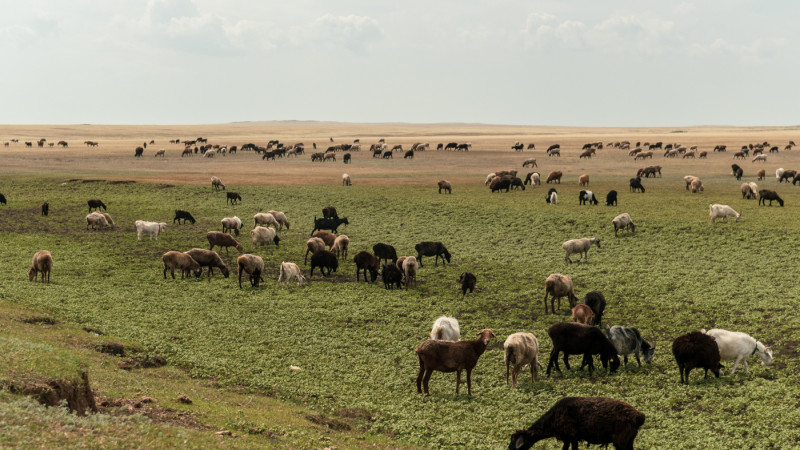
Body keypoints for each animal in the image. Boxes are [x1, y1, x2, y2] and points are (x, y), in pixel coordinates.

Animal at [510, 398, 648, 450]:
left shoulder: (573, 436)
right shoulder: (567, 438)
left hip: (621, 440)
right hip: (629, 440)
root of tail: (639, 416)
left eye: (514, 446)